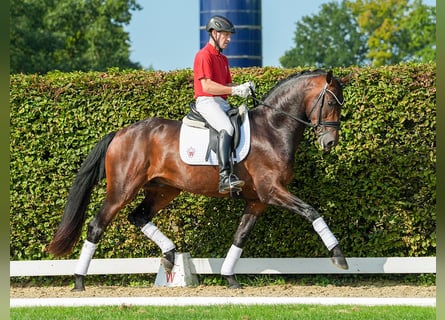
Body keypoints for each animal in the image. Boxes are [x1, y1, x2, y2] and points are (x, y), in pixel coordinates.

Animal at [47, 69, 350, 290]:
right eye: (330, 102)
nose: (330, 142)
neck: (273, 129)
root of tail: (121, 133)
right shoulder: (272, 190)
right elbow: (312, 212)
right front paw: (338, 256)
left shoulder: (258, 200)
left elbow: (240, 236)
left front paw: (230, 278)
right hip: (122, 189)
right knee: (97, 225)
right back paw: (79, 281)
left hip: (163, 190)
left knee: (139, 217)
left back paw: (170, 257)